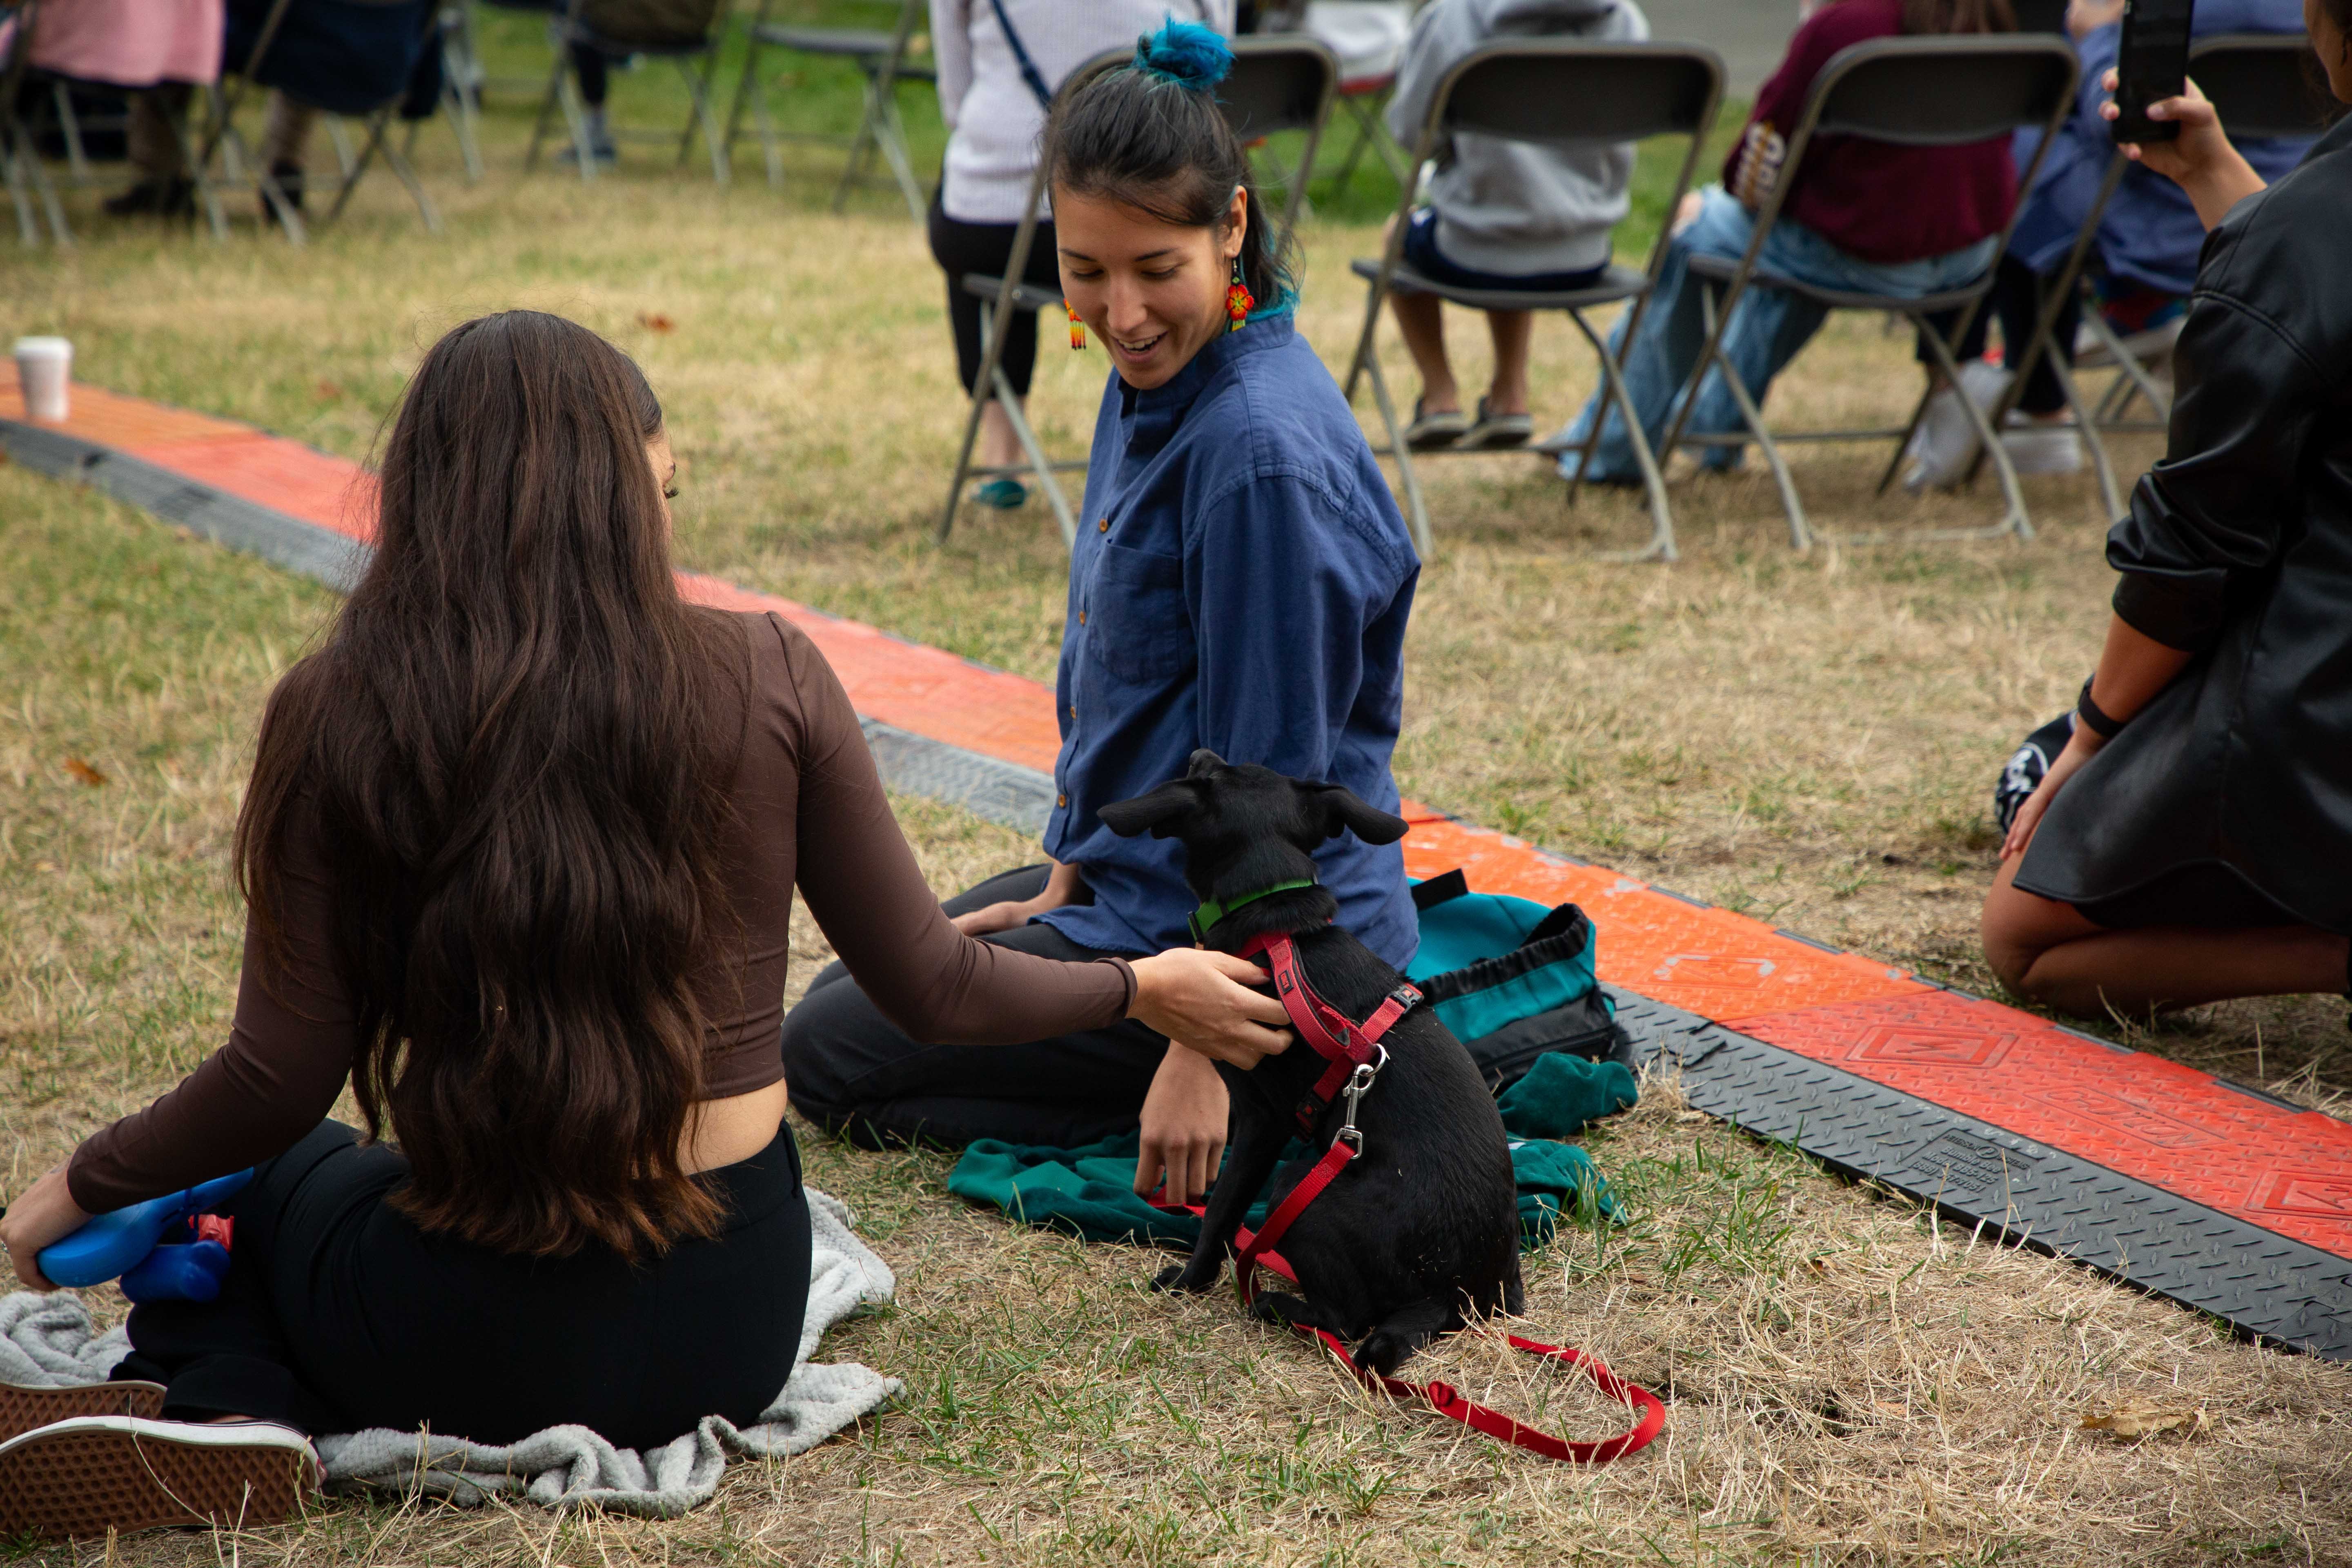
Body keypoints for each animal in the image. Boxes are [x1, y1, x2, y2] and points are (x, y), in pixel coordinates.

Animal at [1100, 747, 1524, 1373]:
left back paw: (1275, 1304)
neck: (1278, 929)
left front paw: (1190, 1280)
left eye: (1209, 775)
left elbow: (1222, 1210)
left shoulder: (1261, 1122)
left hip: (1299, 1187)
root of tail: (1452, 1296)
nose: (1200, 751)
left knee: (1347, 1319)